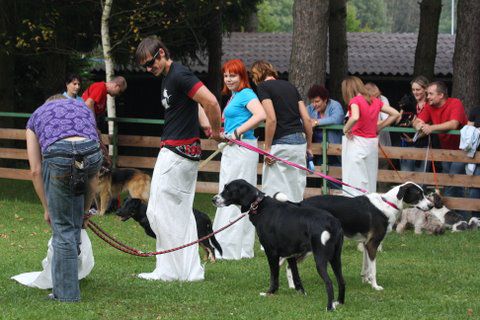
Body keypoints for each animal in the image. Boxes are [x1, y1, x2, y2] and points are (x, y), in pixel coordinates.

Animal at [214, 179, 344, 312]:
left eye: (228, 190)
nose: (214, 199)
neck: (259, 206)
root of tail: (332, 222)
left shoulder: (271, 252)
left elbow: (274, 276)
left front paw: (270, 292)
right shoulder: (291, 255)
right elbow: (296, 277)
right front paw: (301, 293)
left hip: (320, 258)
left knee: (329, 282)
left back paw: (329, 307)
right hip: (335, 258)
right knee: (341, 281)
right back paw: (339, 302)